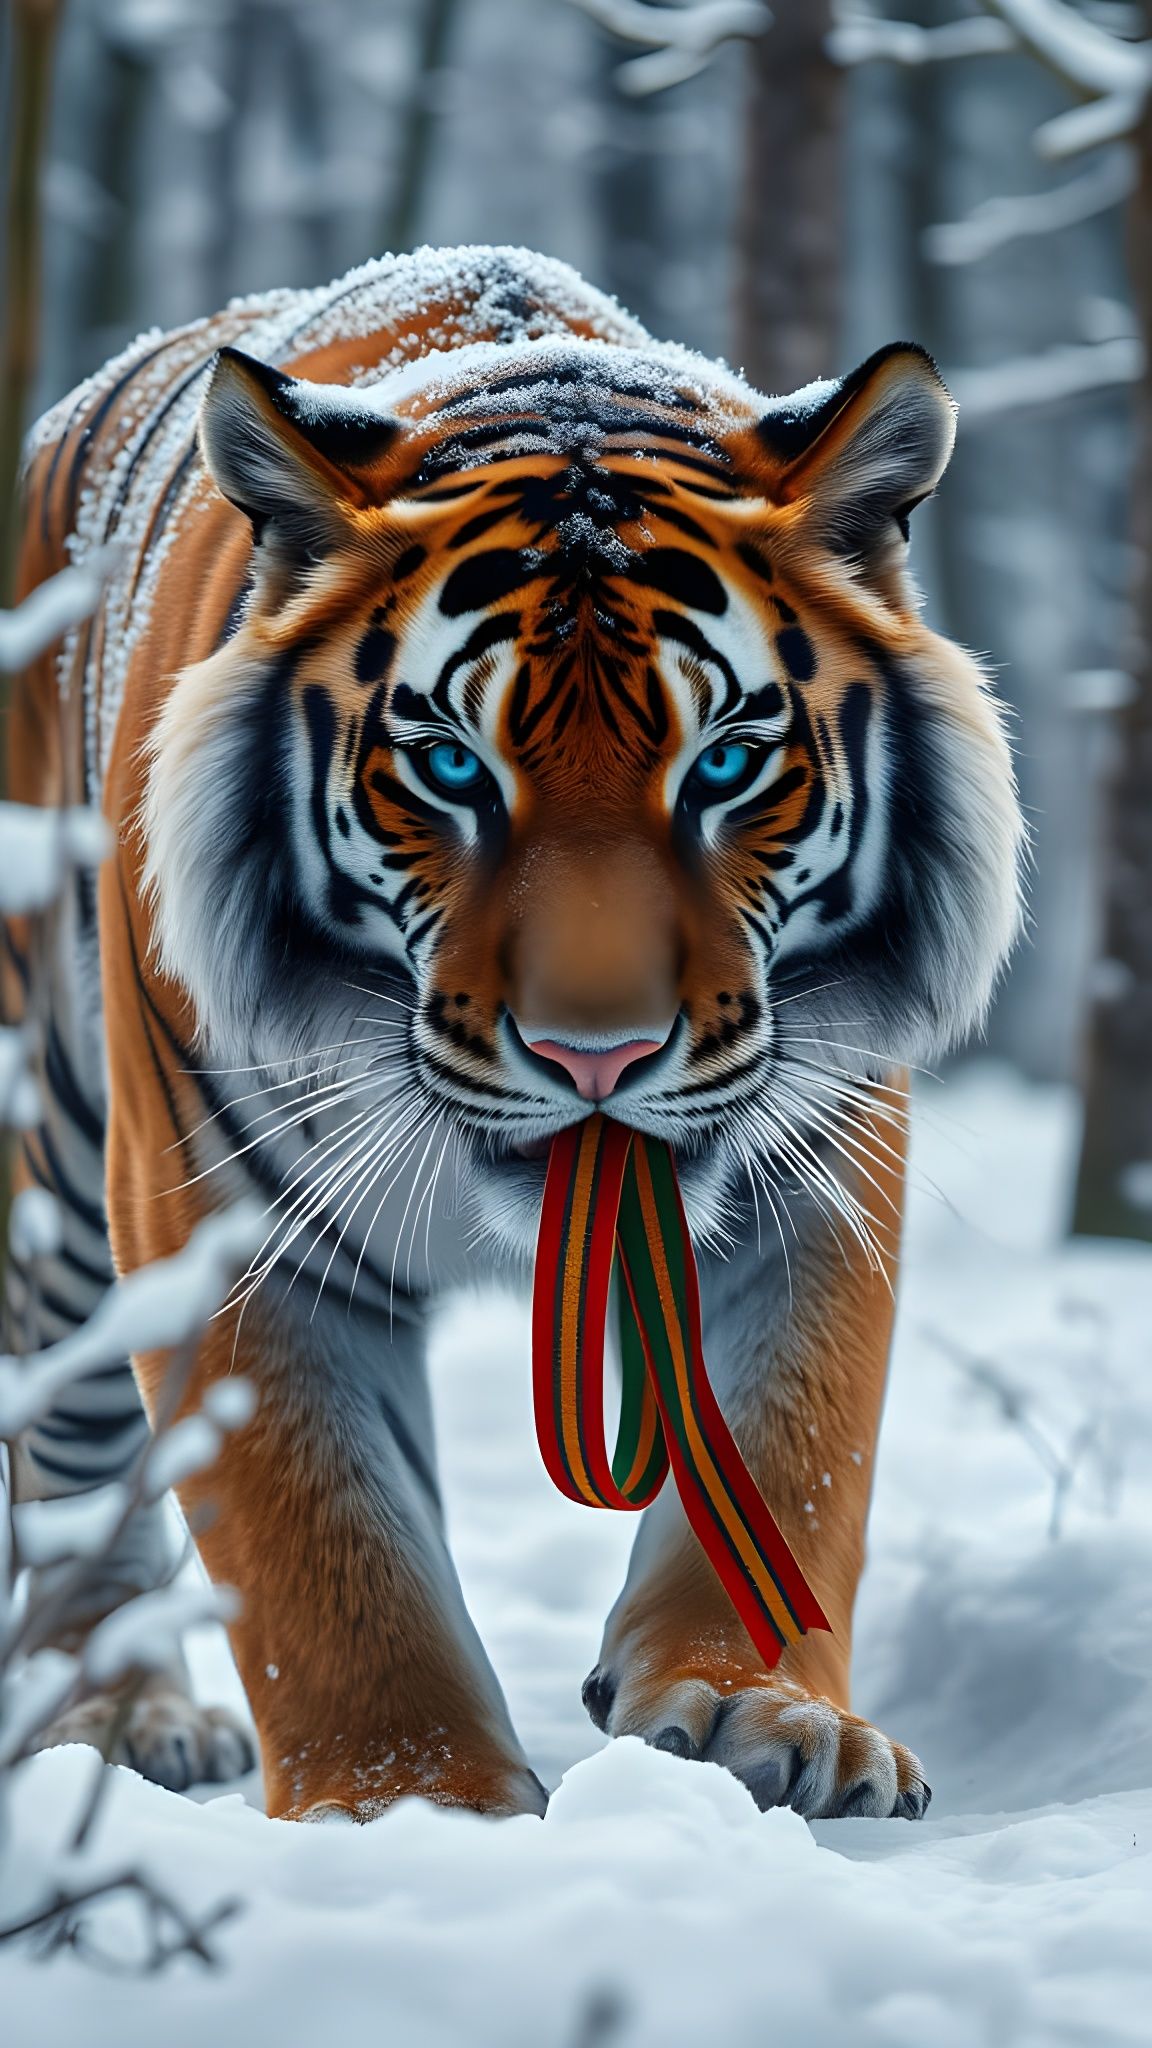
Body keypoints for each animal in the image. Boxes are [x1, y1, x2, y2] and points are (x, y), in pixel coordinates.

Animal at [6, 245, 1021, 1821]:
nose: (595, 1056)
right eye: (446, 767)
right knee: (72, 1450)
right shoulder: (212, 1215)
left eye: (726, 763)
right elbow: (323, 1545)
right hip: (59, 1162)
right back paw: (120, 1711)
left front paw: (764, 1714)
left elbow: (794, 1445)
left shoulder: (817, 1166)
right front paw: (406, 1800)